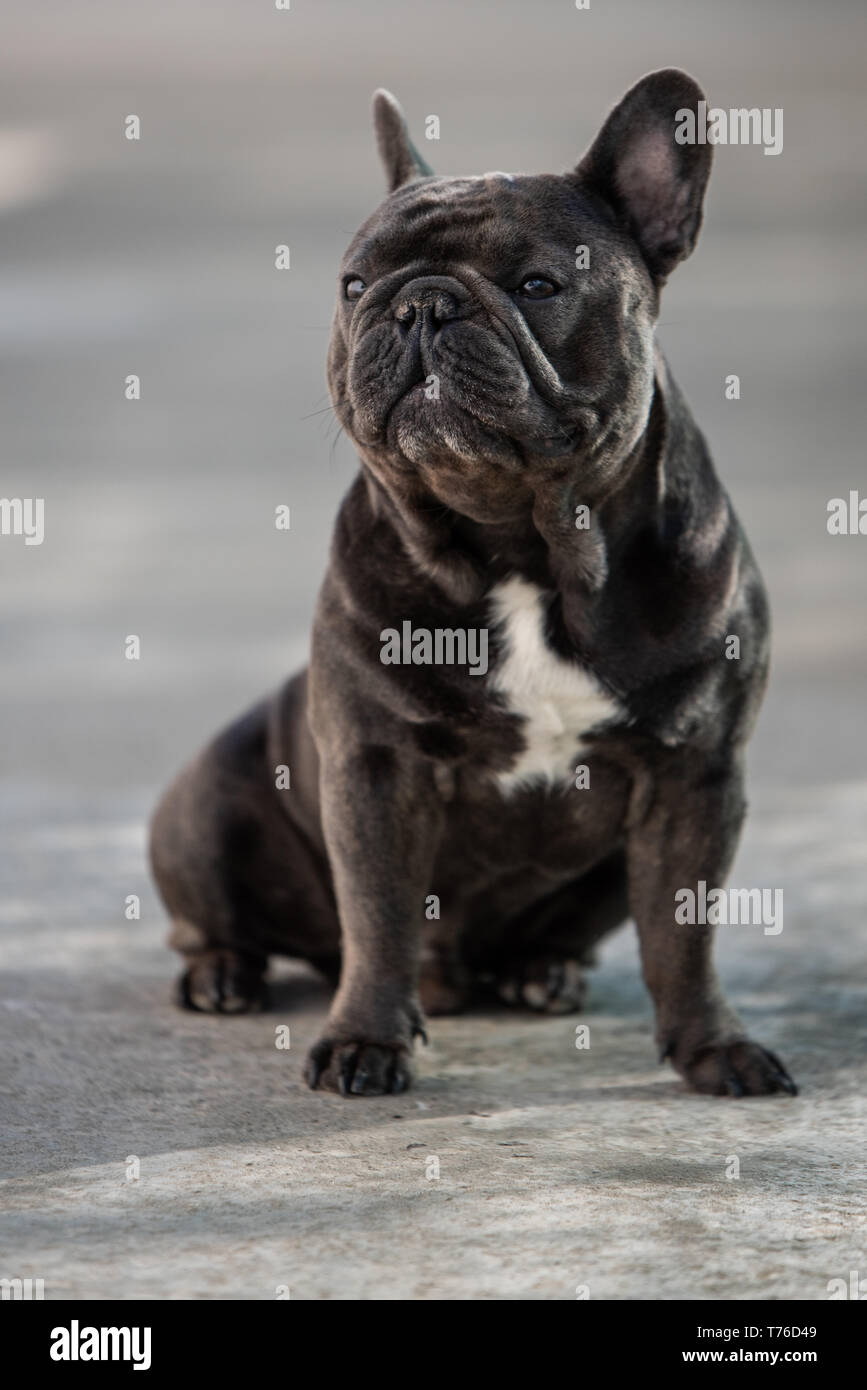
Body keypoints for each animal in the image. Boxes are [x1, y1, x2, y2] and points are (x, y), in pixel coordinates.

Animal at [150, 73, 800, 1095]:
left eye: (538, 285)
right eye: (353, 285)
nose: (418, 304)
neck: (524, 551)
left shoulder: (695, 776)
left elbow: (683, 935)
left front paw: (713, 1048)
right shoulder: (377, 769)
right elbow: (378, 915)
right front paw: (365, 1043)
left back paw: (543, 973)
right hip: (206, 805)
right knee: (216, 923)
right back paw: (221, 974)